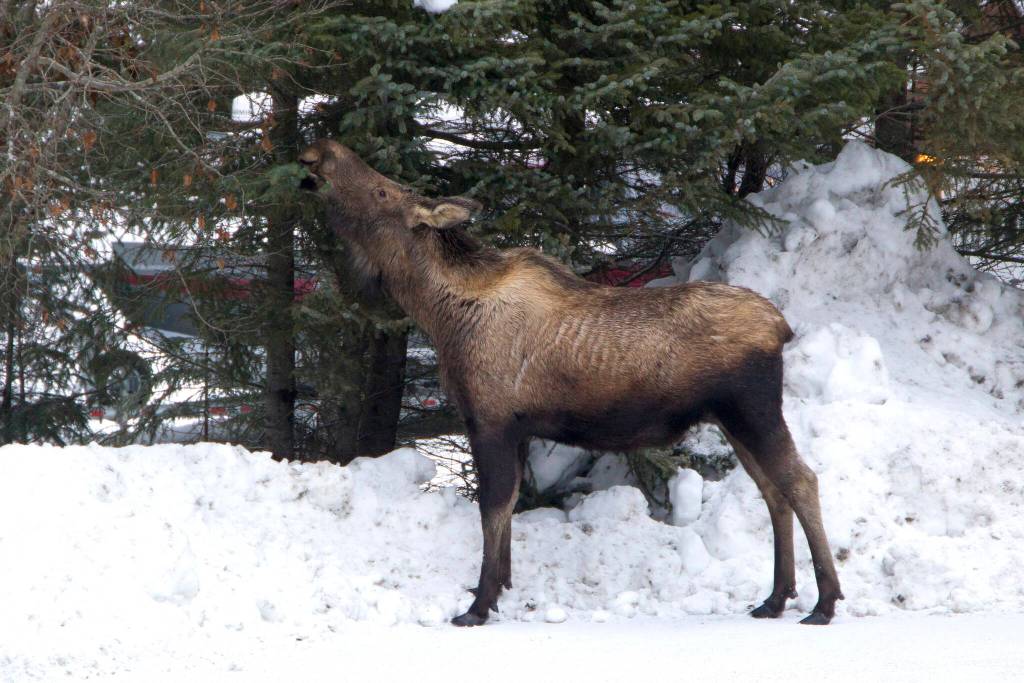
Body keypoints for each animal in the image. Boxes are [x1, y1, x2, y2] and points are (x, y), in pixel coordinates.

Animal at [298, 138, 844, 627]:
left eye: (383, 191)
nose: (320, 151)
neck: (440, 315)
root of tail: (781, 326)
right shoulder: (515, 429)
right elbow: (507, 511)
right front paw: (499, 590)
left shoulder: (489, 420)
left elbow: (493, 509)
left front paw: (478, 606)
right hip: (733, 420)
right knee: (773, 491)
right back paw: (775, 598)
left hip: (752, 409)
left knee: (801, 480)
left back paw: (823, 602)